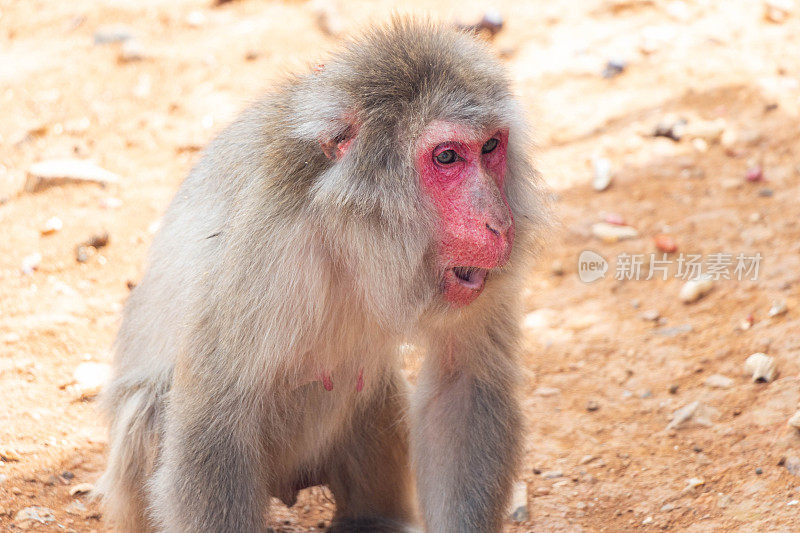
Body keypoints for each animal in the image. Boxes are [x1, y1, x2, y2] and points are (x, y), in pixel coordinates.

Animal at [94, 16, 544, 532]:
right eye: (448, 157)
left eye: (490, 147)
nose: (499, 222)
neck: (352, 235)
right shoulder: (266, 245)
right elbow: (213, 425)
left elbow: (462, 384)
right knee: (150, 410)